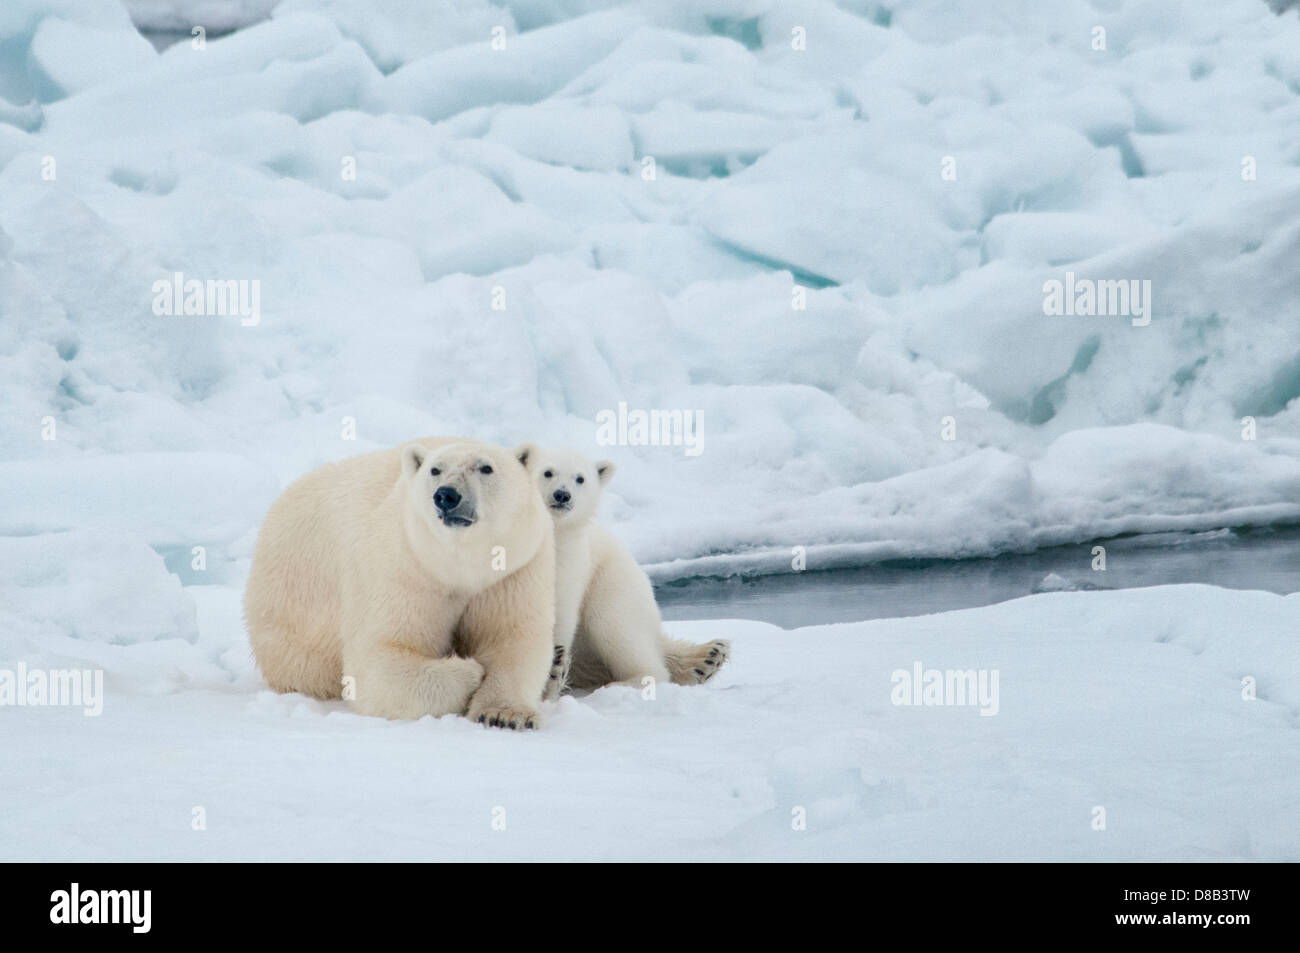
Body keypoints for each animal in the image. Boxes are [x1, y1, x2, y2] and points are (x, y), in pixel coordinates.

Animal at [244, 439, 553, 728]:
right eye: (435, 469)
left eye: (486, 467)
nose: (446, 495)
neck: (458, 568)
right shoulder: (403, 566)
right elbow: (382, 656)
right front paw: (471, 671)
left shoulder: (512, 571)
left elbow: (513, 638)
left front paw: (504, 714)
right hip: (290, 627)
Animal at [525, 442, 733, 696]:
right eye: (547, 472)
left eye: (580, 478)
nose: (562, 495)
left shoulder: (567, 564)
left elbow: (558, 613)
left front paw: (549, 675)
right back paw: (704, 660)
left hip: (613, 583)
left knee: (615, 625)